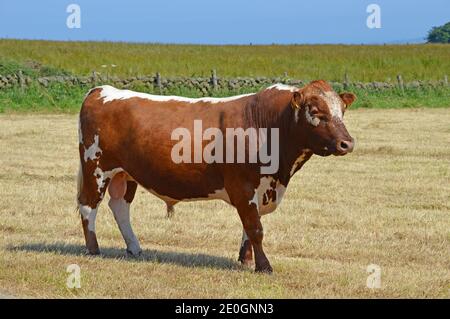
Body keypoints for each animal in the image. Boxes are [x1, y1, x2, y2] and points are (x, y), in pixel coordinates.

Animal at [77, 79, 356, 272]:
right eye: (315, 111)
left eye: (342, 111)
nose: (347, 143)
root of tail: (101, 90)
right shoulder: (243, 186)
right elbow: (255, 228)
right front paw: (264, 266)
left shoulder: (259, 190)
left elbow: (249, 227)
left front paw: (246, 261)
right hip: (96, 167)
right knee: (89, 206)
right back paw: (94, 249)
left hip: (126, 174)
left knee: (119, 206)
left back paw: (134, 248)